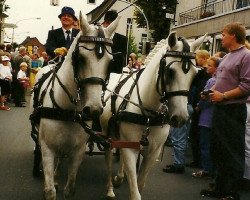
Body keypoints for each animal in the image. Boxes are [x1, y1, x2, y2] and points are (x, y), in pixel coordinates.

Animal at [30, 12, 120, 200]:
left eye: (110, 62)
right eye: (80, 58)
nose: (93, 109)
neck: (67, 110)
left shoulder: (77, 151)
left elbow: (70, 189)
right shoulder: (47, 148)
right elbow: (50, 191)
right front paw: (52, 184)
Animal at [99, 31, 207, 200]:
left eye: (195, 75)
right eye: (170, 72)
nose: (180, 118)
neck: (148, 116)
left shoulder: (152, 152)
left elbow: (140, 183)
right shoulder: (130, 149)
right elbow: (135, 191)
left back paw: (120, 177)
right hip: (107, 134)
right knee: (109, 157)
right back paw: (110, 188)